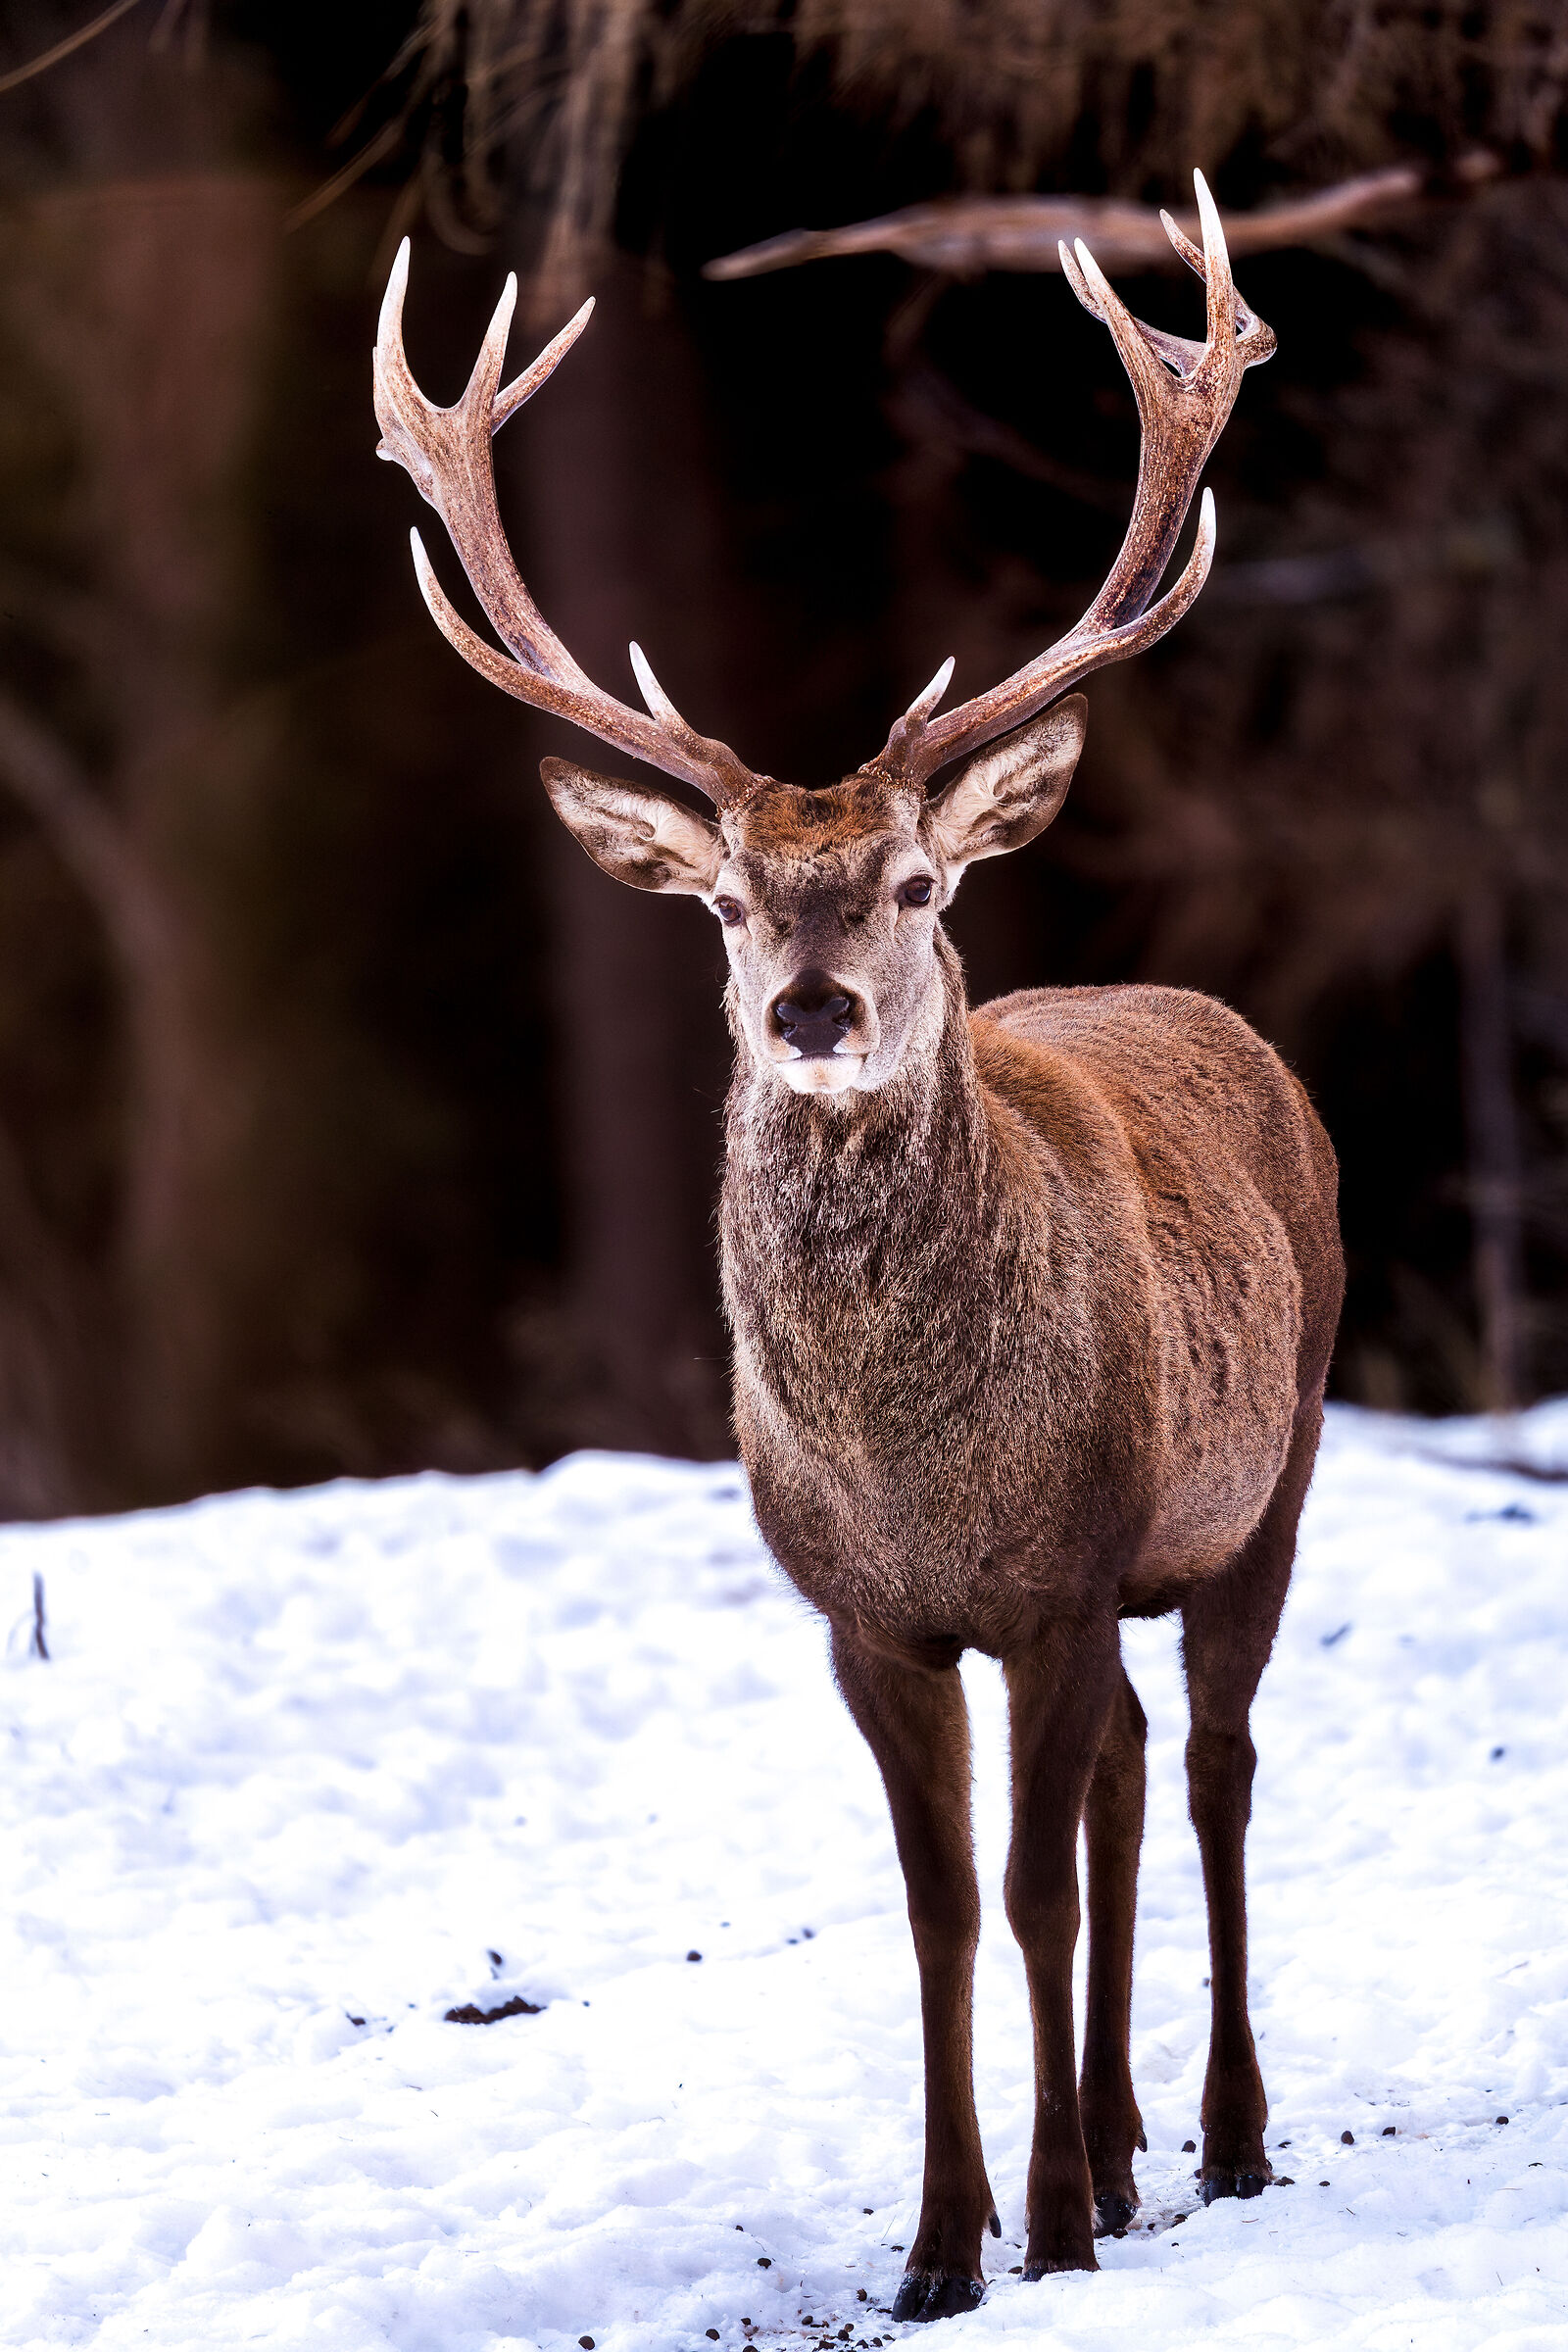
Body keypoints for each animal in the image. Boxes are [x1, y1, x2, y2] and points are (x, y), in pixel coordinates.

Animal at [373, 173, 1343, 2322]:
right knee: (1135, 1766)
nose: (811, 1009)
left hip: (1271, 1470)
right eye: (728, 901)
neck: (914, 1466)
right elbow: (936, 1907)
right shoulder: (864, 1614)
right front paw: (942, 2242)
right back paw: (1127, 2137)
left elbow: (1029, 1888)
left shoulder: (1058, 1569)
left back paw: (1220, 2137)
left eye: (910, 882)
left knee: (1214, 1761)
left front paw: (1044, 2228)